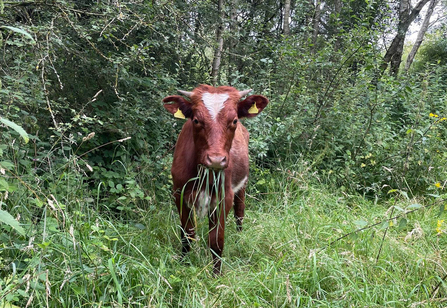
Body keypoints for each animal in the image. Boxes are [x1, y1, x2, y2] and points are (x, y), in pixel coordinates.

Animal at [164, 84, 270, 274]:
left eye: (234, 120)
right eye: (196, 120)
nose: (215, 159)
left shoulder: (224, 197)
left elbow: (217, 240)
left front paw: (216, 274)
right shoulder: (179, 194)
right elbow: (187, 234)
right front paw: (183, 263)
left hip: (242, 185)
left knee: (239, 213)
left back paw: (239, 239)